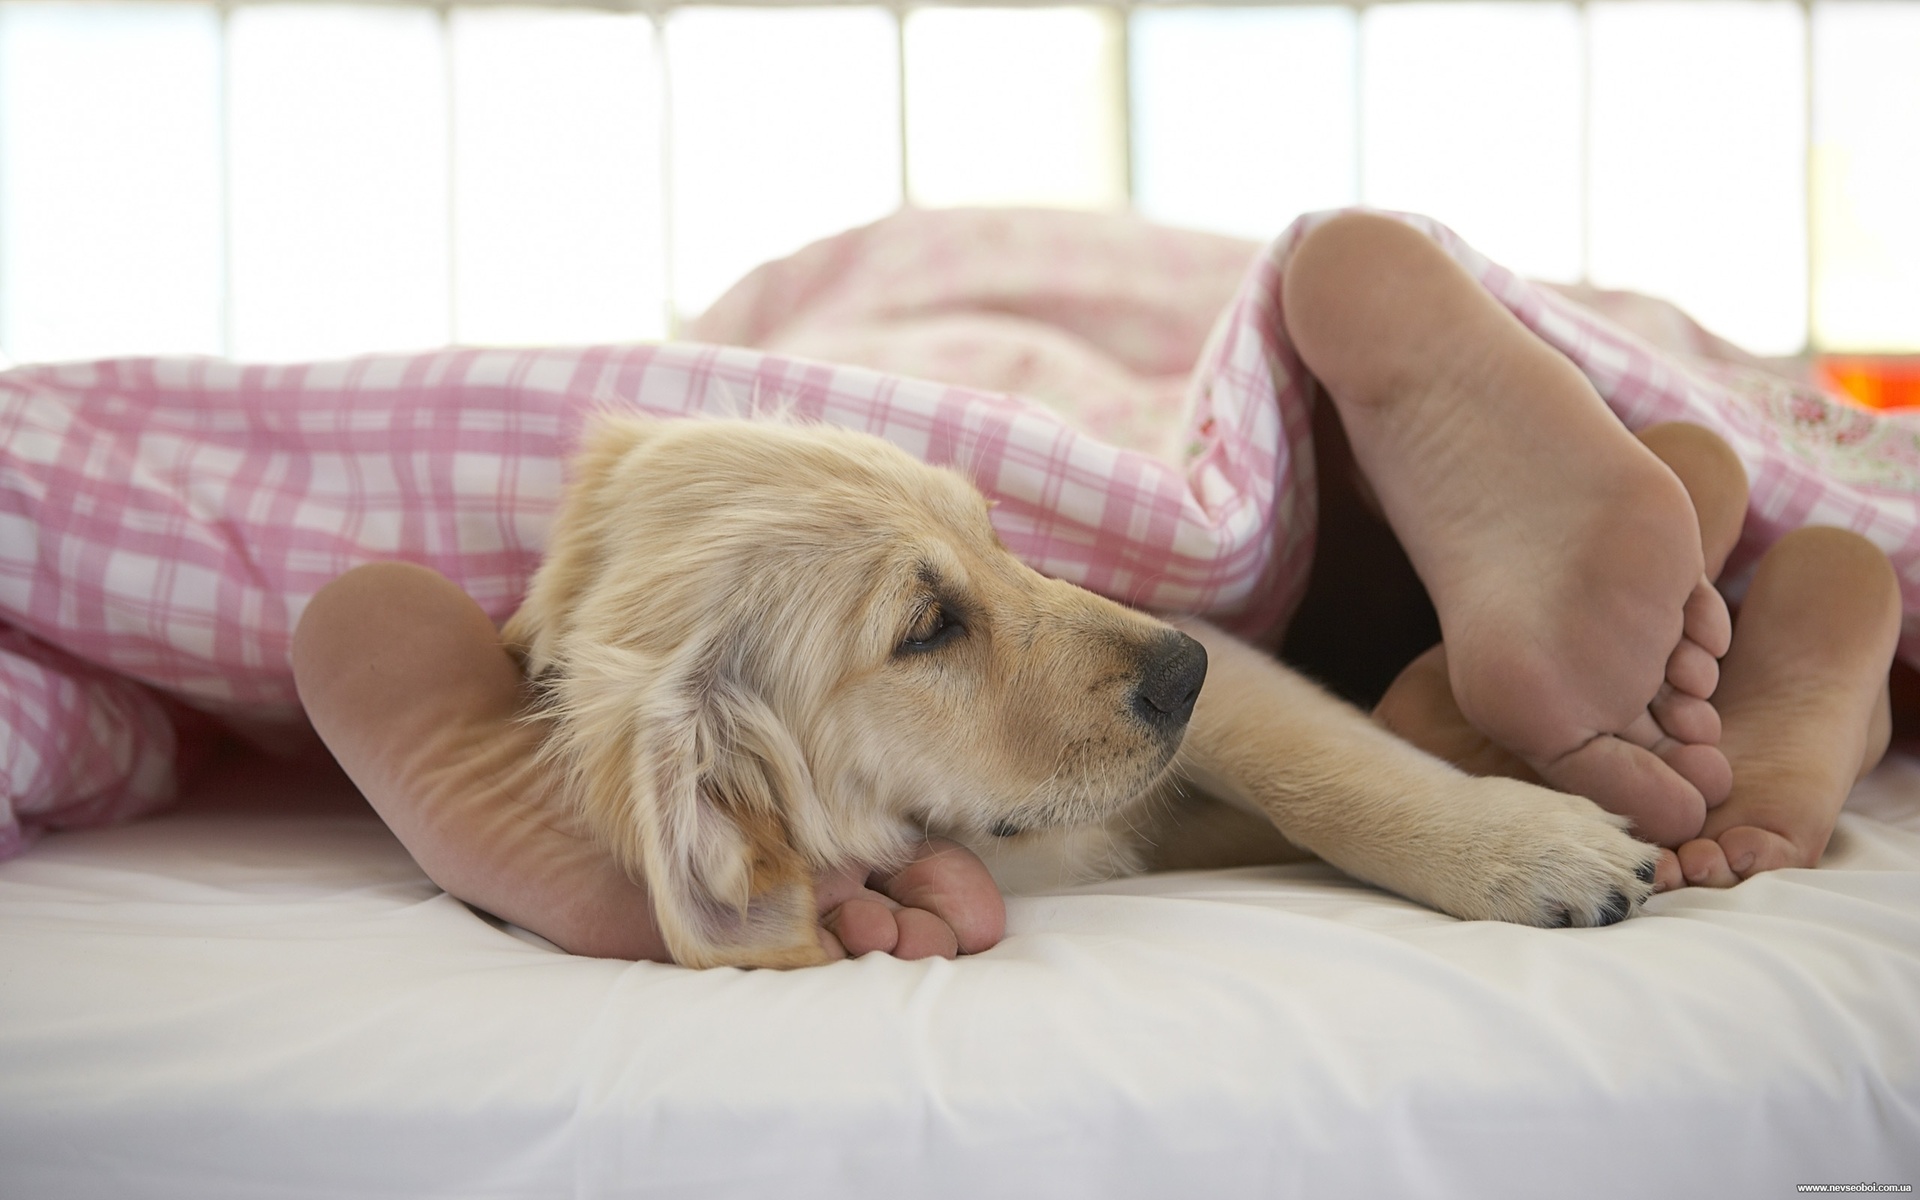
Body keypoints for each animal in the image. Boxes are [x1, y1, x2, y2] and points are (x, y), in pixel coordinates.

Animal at [503, 416, 1658, 967]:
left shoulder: (1226, 662)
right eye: (925, 628)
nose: (1184, 670)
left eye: (995, 535)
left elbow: (1319, 768)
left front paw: (1523, 846)